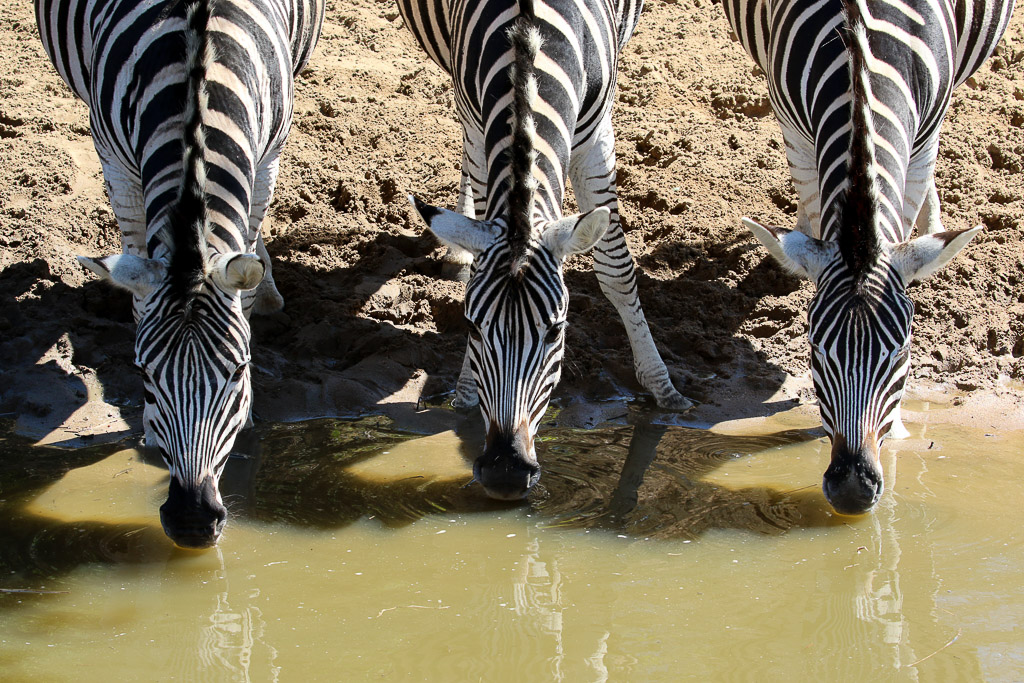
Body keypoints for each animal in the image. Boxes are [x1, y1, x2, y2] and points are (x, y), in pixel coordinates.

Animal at [35, 0, 324, 546]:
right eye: (144, 374)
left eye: (238, 371)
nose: (192, 521)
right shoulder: (113, 157)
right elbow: (136, 275)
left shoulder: (269, 156)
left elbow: (245, 261)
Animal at [399, 0, 691, 500]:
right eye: (472, 329)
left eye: (556, 332)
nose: (505, 472)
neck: (529, 35)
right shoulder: (478, 123)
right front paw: (464, 390)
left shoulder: (596, 134)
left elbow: (615, 269)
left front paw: (663, 388)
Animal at [721, 0, 1012, 514]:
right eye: (815, 350)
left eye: (902, 352)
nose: (853, 491)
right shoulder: (792, 122)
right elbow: (819, 211)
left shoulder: (925, 134)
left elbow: (903, 217)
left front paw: (895, 429)